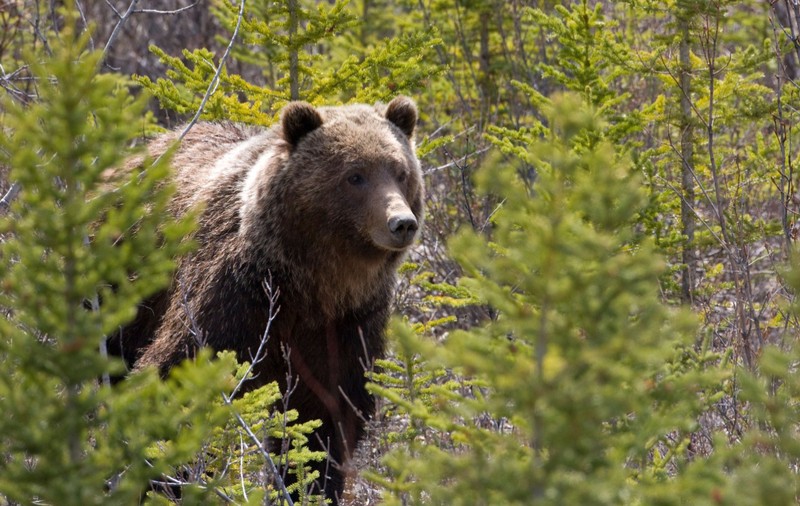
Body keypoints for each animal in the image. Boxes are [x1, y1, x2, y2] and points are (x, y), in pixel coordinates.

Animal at [107, 96, 423, 503]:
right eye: (355, 175)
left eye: (400, 171)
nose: (402, 222)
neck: (310, 283)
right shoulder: (234, 298)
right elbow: (176, 375)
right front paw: (163, 480)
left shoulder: (347, 324)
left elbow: (322, 420)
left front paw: (308, 486)